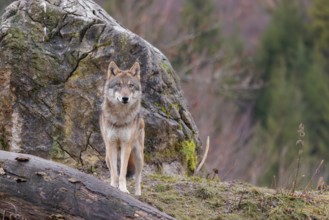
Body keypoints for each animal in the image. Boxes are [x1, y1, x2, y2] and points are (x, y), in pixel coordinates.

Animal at [99, 61, 144, 195]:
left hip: (138, 156)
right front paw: (113, 187)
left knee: (138, 177)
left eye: (131, 86)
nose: (125, 98)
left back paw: (138, 194)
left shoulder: (126, 146)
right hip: (107, 157)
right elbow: (115, 173)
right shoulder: (111, 144)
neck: (120, 117)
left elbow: (123, 173)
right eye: (118, 85)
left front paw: (123, 189)